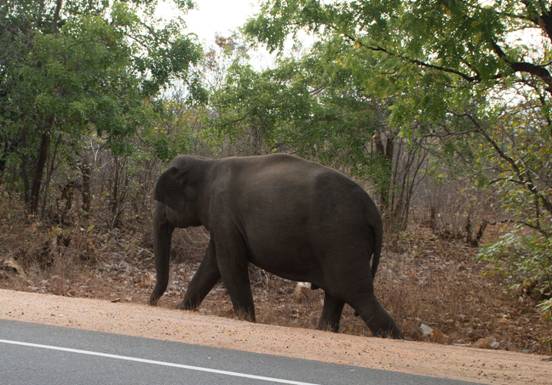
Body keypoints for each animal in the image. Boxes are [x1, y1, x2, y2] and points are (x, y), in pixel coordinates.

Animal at [149, 152, 404, 338]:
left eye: (161, 200)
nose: (152, 303)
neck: (207, 164)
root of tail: (373, 212)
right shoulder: (223, 221)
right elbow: (212, 264)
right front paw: (182, 309)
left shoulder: (223, 213)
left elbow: (229, 264)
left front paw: (247, 320)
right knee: (337, 295)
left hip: (342, 238)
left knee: (357, 295)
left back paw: (393, 337)